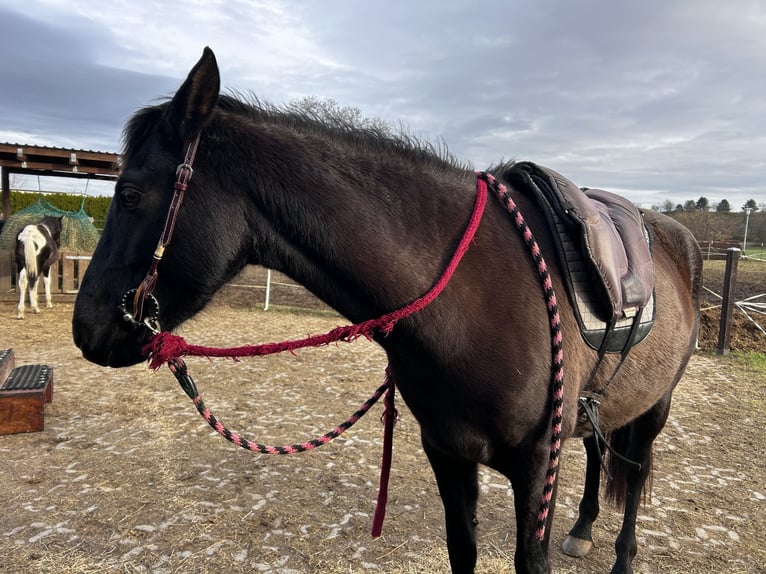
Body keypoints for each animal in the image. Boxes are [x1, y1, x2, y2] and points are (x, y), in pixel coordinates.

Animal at [72, 49, 704, 574]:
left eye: (129, 193)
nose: (86, 328)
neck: (471, 300)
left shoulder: (534, 468)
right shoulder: (449, 455)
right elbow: (463, 551)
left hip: (657, 403)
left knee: (636, 470)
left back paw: (621, 554)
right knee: (600, 450)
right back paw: (583, 528)